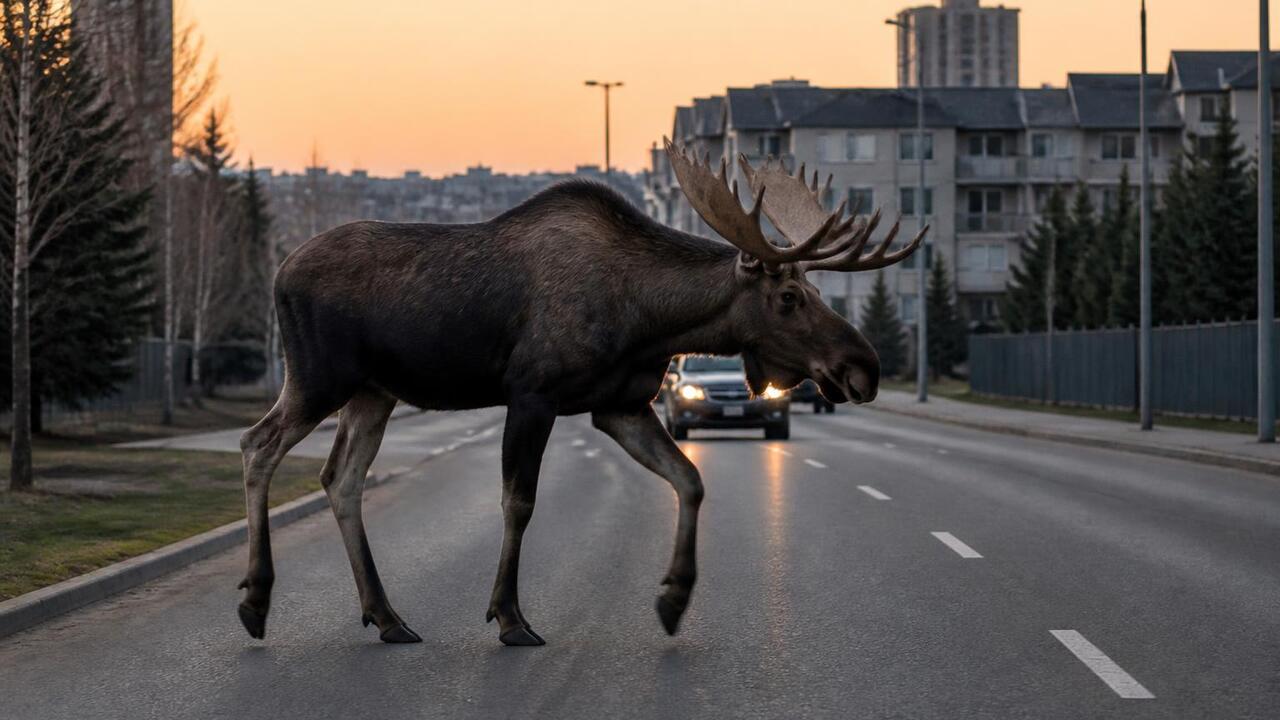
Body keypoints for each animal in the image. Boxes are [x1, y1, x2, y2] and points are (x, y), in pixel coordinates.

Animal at [236, 139, 927, 647]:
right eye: (788, 297)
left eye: (815, 291)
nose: (863, 367)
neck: (649, 318)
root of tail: (277, 273)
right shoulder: (533, 394)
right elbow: (518, 503)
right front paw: (511, 617)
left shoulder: (619, 405)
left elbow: (689, 479)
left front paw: (674, 597)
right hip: (318, 378)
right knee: (257, 444)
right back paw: (257, 600)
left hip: (374, 393)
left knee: (340, 477)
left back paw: (387, 617)